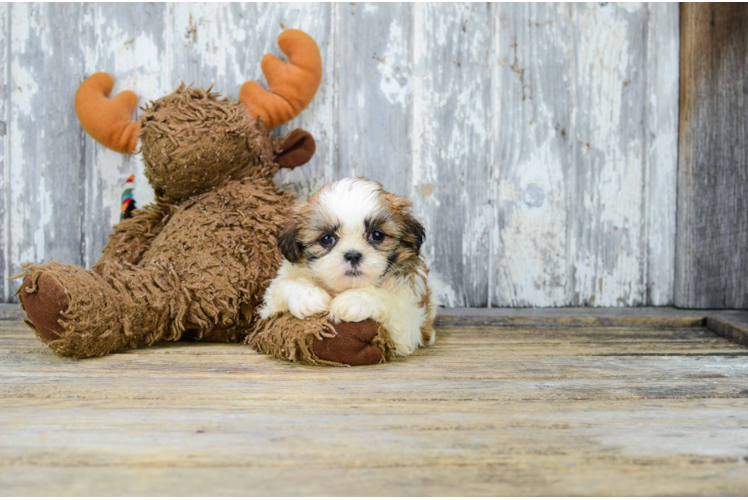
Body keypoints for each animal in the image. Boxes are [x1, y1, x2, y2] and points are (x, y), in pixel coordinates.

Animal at [262, 178, 442, 358]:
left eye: (377, 235)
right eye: (326, 239)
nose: (353, 255)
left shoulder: (407, 324)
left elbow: (390, 302)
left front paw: (353, 300)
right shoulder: (271, 303)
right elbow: (283, 285)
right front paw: (308, 298)